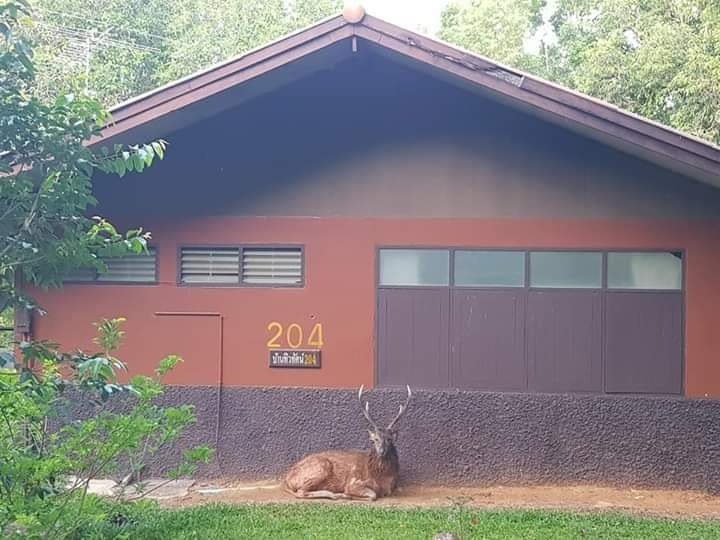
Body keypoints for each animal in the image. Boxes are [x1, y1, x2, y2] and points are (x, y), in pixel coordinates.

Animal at [284, 384, 414, 502]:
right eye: (374, 440)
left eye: (389, 439)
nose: (382, 451)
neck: (381, 479)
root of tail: (288, 479)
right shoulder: (354, 482)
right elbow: (372, 495)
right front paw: (348, 495)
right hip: (321, 467)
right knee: (301, 492)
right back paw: (337, 495)